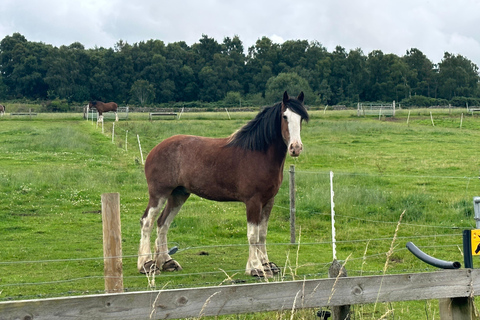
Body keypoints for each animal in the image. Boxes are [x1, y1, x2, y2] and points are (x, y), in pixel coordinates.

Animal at [138, 90, 312, 278]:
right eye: (284, 116)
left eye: (301, 118)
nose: (296, 148)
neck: (260, 155)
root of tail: (155, 150)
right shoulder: (253, 201)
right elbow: (253, 235)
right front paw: (255, 267)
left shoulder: (268, 201)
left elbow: (262, 234)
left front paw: (267, 265)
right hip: (159, 194)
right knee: (147, 222)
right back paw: (146, 265)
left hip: (178, 195)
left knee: (163, 223)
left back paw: (167, 262)